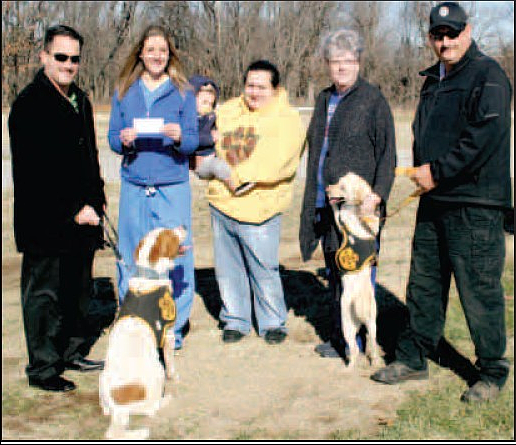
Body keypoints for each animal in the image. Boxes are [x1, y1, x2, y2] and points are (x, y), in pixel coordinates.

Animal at [99, 227, 185, 438]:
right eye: (172, 235)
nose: (183, 227)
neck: (149, 274)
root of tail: (119, 407)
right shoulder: (168, 333)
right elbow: (171, 362)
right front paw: (175, 376)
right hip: (157, 371)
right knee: (152, 408)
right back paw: (166, 400)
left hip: (101, 379)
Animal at [328, 173, 380, 368]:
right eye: (338, 182)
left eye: (342, 187)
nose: (327, 188)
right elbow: (374, 221)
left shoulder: (341, 219)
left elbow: (337, 212)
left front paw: (332, 204)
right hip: (373, 323)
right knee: (372, 343)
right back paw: (375, 362)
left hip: (347, 326)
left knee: (355, 350)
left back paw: (349, 368)